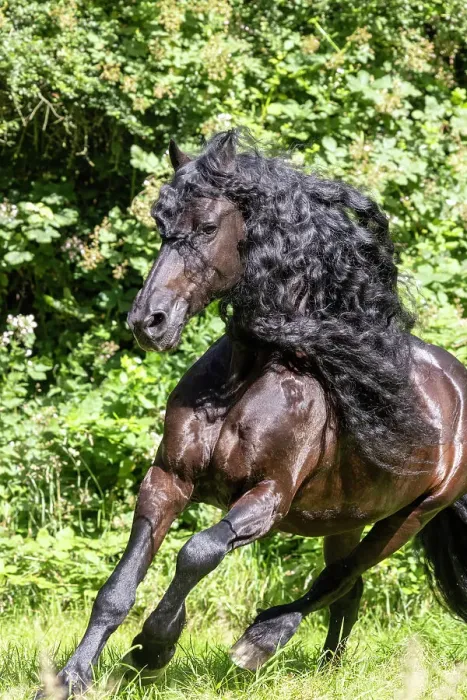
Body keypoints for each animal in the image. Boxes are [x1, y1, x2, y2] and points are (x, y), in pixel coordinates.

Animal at [39, 130, 467, 697]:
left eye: (208, 226)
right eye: (160, 226)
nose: (148, 321)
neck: (244, 380)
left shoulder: (268, 498)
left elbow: (198, 551)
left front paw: (151, 649)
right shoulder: (166, 480)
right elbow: (117, 587)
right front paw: (72, 677)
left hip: (413, 515)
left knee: (340, 579)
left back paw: (259, 642)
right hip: (346, 517)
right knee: (348, 587)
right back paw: (326, 669)